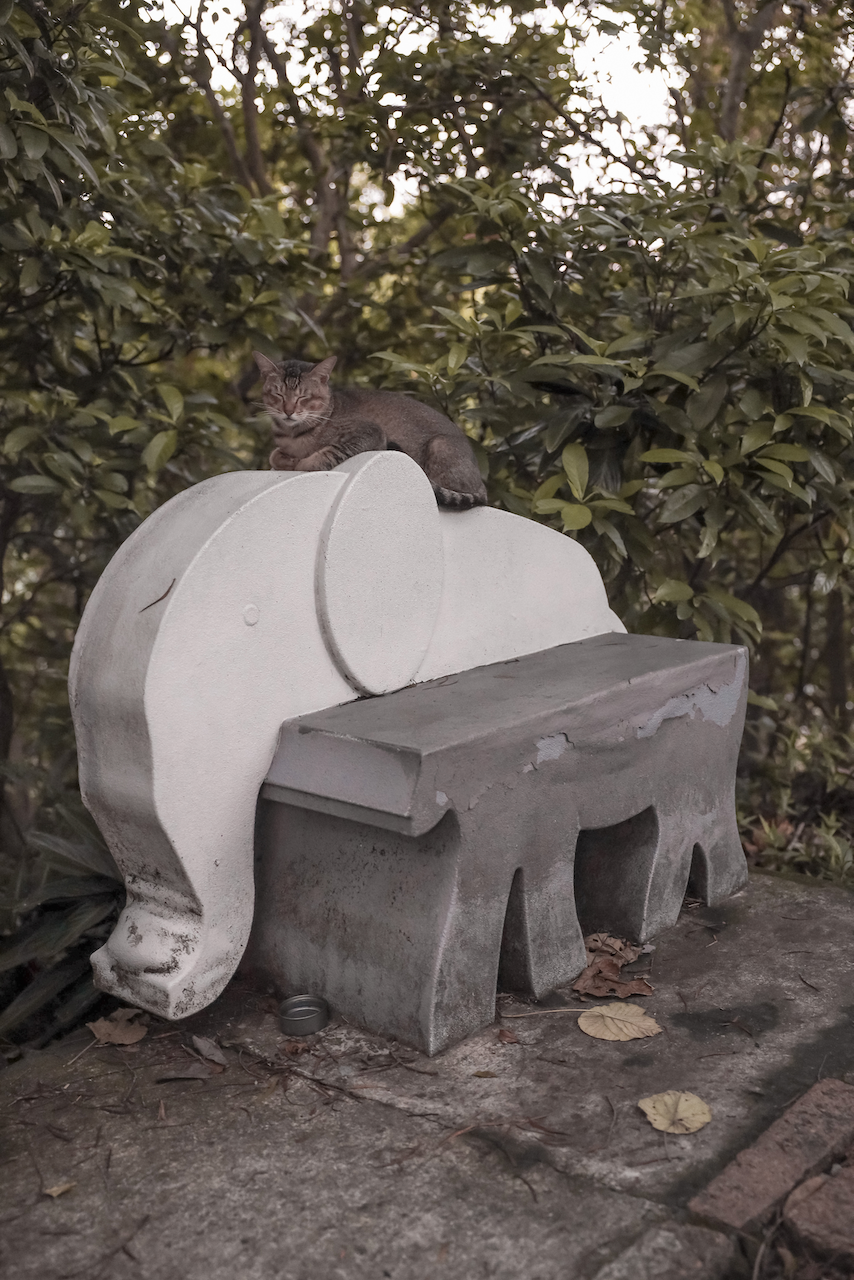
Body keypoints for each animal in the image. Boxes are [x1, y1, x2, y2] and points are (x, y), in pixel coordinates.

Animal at [252, 355, 486, 509]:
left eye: (303, 397)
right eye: (278, 395)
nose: (288, 411)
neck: (292, 434)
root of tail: (481, 481)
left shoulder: (371, 432)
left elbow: (326, 453)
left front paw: (300, 463)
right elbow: (275, 455)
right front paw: (285, 459)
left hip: (439, 445)